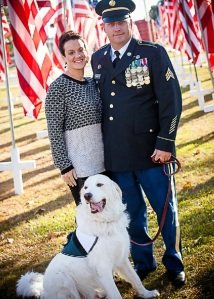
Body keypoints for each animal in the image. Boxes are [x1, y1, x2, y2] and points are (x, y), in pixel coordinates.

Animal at [16, 175, 159, 298]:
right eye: (85, 187)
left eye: (99, 184)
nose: (86, 196)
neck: (104, 221)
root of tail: (45, 292)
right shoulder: (103, 269)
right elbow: (116, 294)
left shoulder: (122, 260)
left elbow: (135, 279)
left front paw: (147, 294)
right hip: (64, 281)